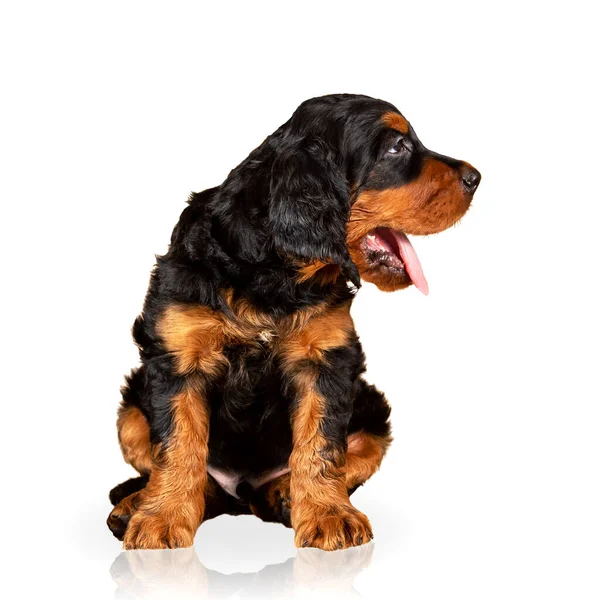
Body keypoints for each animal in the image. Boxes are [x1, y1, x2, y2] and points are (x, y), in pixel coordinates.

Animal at [108, 92, 480, 548]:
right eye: (397, 147)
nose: (477, 177)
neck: (276, 275)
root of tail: (243, 495)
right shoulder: (175, 358)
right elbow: (178, 445)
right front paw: (161, 519)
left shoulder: (326, 359)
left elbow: (322, 445)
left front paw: (329, 515)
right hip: (131, 404)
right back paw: (133, 506)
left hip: (374, 407)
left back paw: (284, 494)